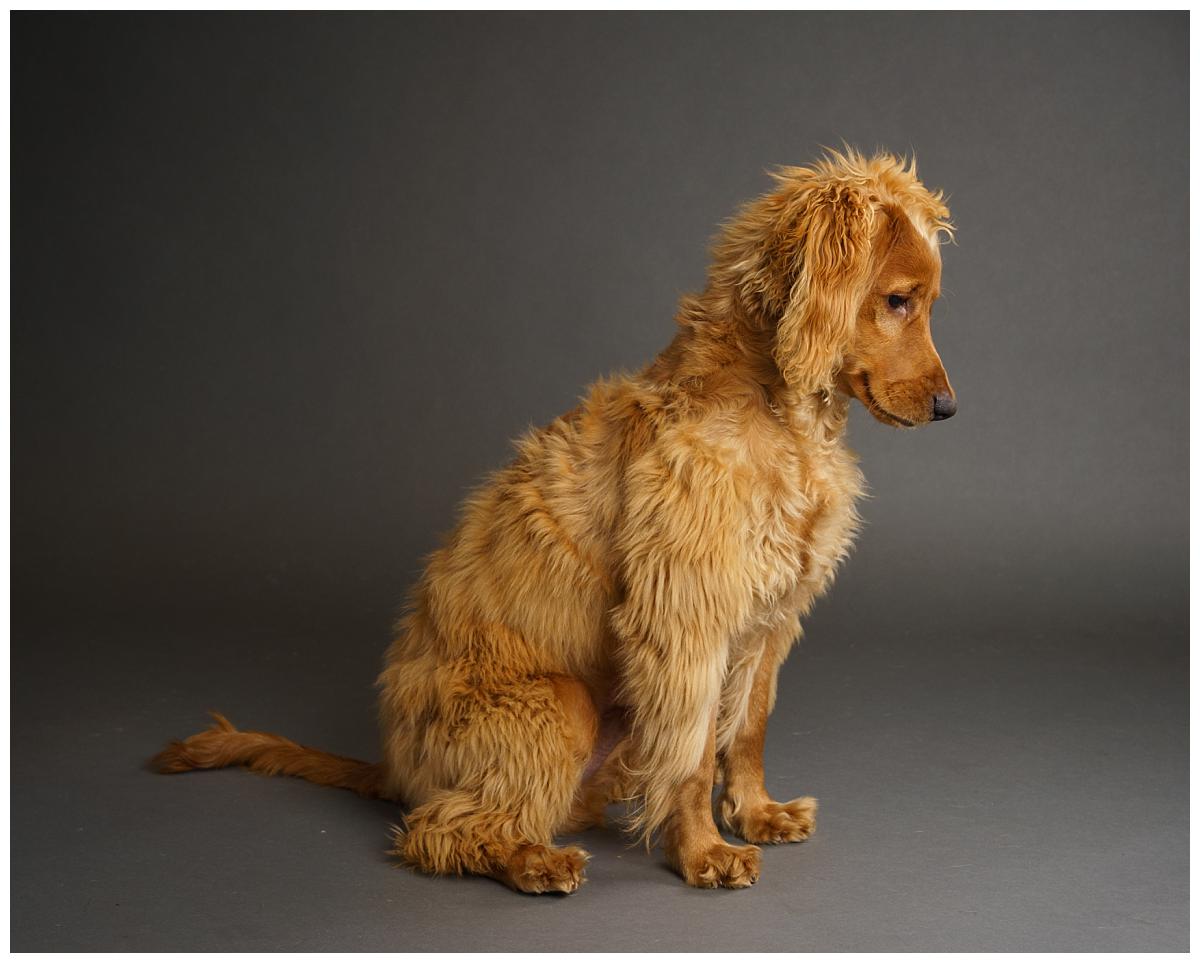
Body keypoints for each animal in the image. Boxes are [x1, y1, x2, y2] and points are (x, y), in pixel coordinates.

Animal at [154, 148, 955, 893]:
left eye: (922, 300)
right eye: (897, 299)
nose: (950, 408)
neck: (770, 409)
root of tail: (395, 765)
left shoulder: (768, 616)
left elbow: (747, 728)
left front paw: (758, 814)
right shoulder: (686, 618)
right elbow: (693, 755)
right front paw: (704, 852)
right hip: (556, 705)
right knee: (441, 829)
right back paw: (533, 861)